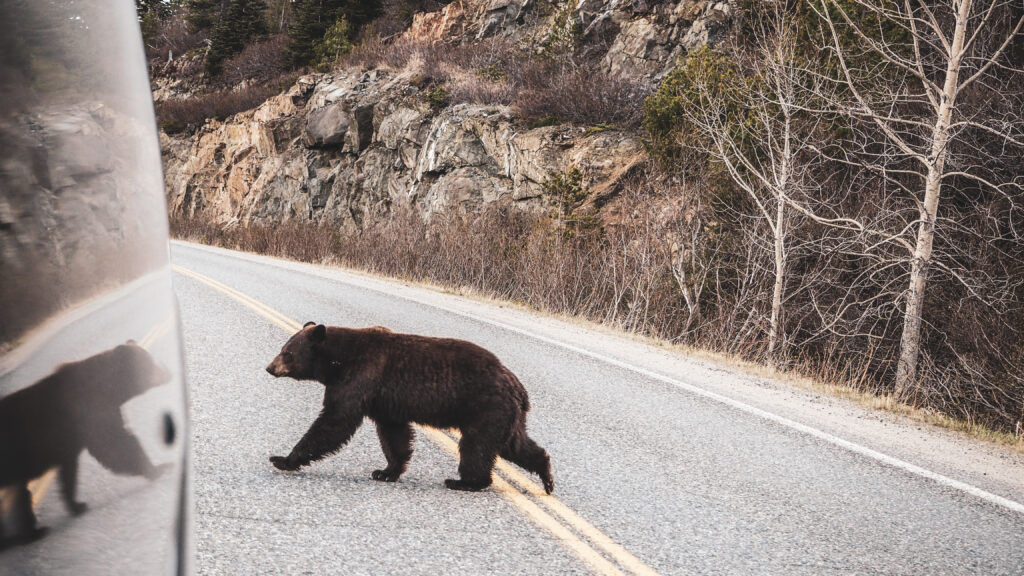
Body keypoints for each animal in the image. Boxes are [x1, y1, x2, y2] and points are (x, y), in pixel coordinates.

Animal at [0, 340, 172, 545]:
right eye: (149, 364)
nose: (167, 372)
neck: (111, 390)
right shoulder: (90, 414)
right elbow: (116, 446)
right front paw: (160, 467)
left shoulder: (71, 446)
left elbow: (70, 472)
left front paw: (77, 504)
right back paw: (34, 532)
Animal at [264, 319, 552, 491]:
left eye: (288, 352)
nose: (269, 367)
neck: (338, 361)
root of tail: (518, 387)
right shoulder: (385, 403)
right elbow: (394, 435)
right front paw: (386, 471)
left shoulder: (361, 376)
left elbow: (335, 420)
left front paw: (283, 459)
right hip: (505, 415)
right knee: (515, 444)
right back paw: (547, 477)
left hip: (485, 408)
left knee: (476, 447)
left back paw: (464, 481)